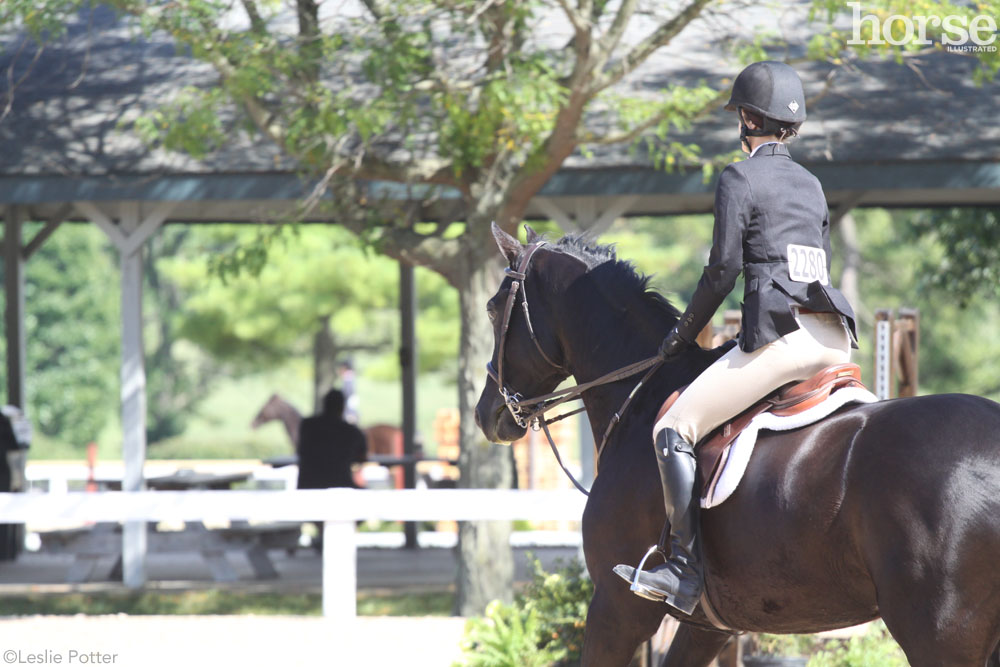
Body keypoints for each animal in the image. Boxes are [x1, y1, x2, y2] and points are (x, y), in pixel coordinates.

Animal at [476, 226, 1000, 667]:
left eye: (493, 307)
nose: (487, 415)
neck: (641, 395)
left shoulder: (617, 606)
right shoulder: (708, 627)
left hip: (939, 633)